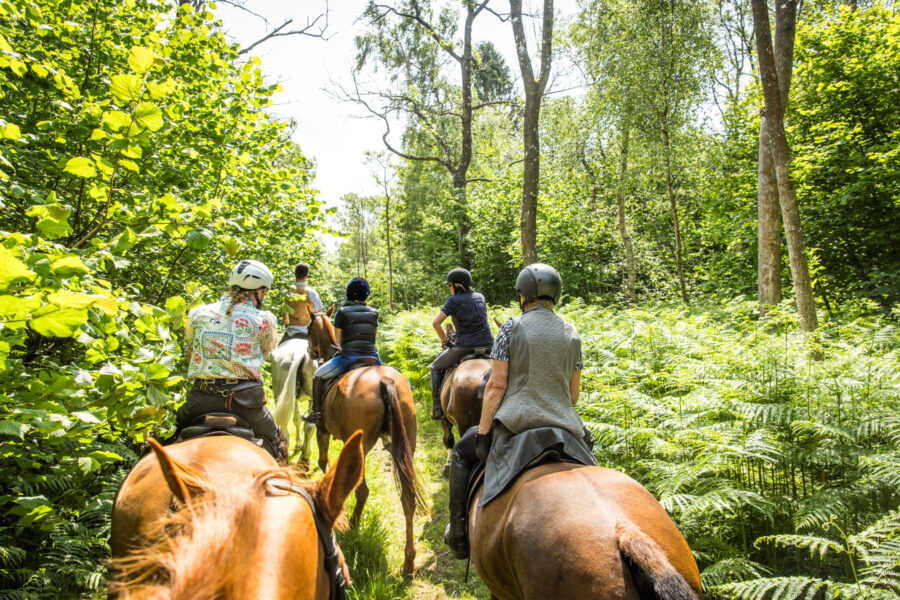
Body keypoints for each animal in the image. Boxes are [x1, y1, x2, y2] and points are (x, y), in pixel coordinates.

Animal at [272, 308, 338, 463]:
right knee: (307, 426)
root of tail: (298, 354)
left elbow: (297, 420)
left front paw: (298, 445)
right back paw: (305, 455)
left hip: (280, 393)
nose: (310, 352)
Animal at [313, 313, 424, 576]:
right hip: (407, 444)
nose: (312, 352)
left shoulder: (322, 430)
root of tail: (384, 381)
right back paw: (408, 563)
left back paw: (353, 526)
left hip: (359, 445)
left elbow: (323, 460)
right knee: (408, 497)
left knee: (362, 490)